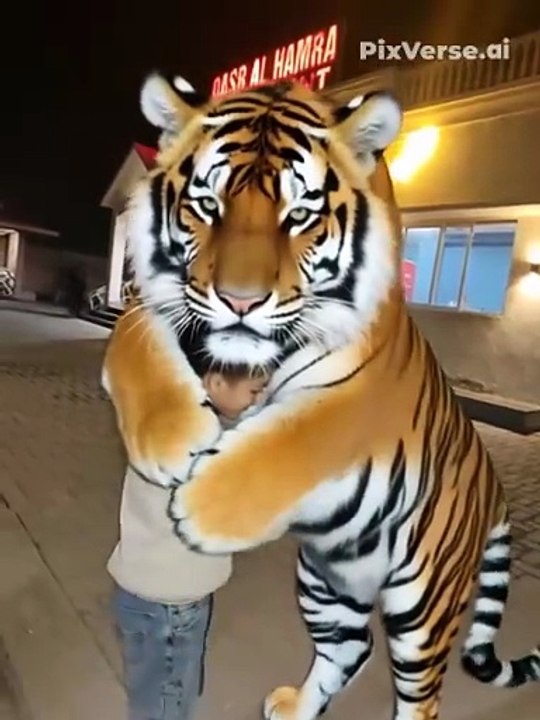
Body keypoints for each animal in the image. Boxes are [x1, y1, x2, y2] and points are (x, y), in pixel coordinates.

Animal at [101, 73, 540, 720]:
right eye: (208, 205)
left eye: (299, 214)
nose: (239, 301)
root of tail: (494, 490)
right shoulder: (150, 303)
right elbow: (133, 348)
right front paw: (169, 440)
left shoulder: (363, 387)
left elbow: (303, 435)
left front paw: (203, 506)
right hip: (325, 580)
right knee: (349, 648)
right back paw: (294, 706)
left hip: (422, 609)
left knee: (420, 695)